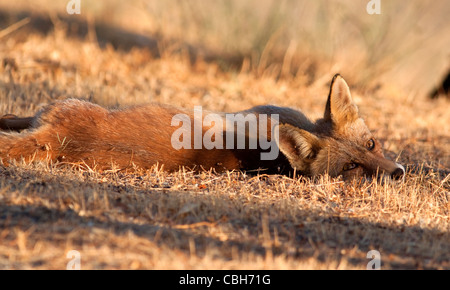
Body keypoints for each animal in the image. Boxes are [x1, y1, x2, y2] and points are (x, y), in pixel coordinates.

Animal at [0, 73, 404, 180]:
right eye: (352, 166)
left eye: (370, 146)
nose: (398, 173)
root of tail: (59, 141)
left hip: (58, 108)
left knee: (15, 122)